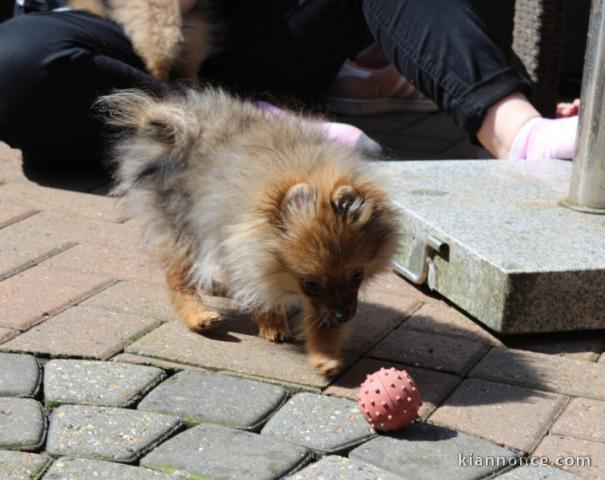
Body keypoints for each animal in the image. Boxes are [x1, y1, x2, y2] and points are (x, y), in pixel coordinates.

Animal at [100, 88, 402, 376]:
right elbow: (265, 292)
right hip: (185, 229)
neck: (306, 170)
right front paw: (273, 323)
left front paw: (325, 354)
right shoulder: (255, 258)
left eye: (357, 276)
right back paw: (199, 317)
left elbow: (319, 318)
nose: (343, 317)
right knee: (178, 278)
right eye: (311, 284)